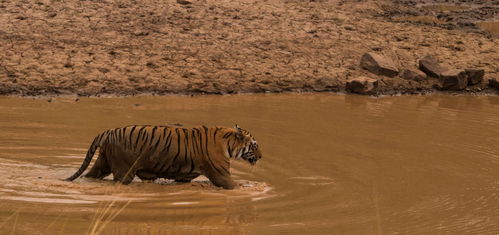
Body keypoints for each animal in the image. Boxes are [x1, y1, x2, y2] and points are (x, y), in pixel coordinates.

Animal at [63, 125, 262, 189]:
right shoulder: (221, 175)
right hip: (123, 170)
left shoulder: (184, 176)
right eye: (254, 145)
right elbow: (235, 186)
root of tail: (106, 132)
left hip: (102, 163)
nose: (261, 157)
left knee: (90, 175)